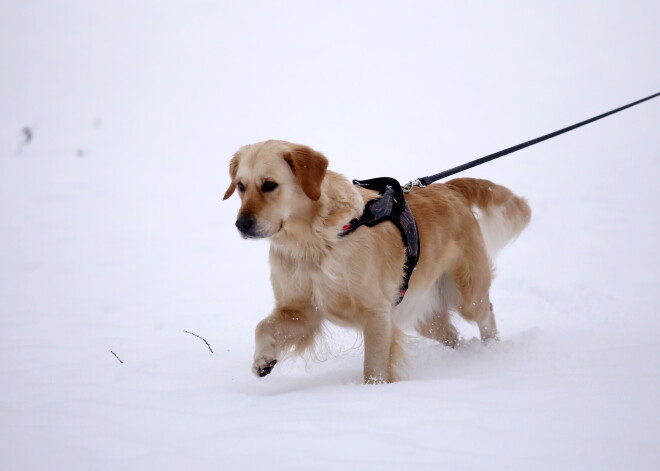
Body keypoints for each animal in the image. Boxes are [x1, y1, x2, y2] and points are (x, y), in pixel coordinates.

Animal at [223, 140, 532, 384]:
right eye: (241, 186)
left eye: (270, 185)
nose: (242, 224)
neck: (314, 243)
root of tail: (450, 188)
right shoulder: (301, 310)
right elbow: (263, 326)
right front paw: (263, 360)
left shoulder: (376, 313)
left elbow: (374, 367)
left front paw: (374, 395)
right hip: (425, 314)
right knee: (452, 335)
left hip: (467, 294)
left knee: (485, 312)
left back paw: (491, 351)